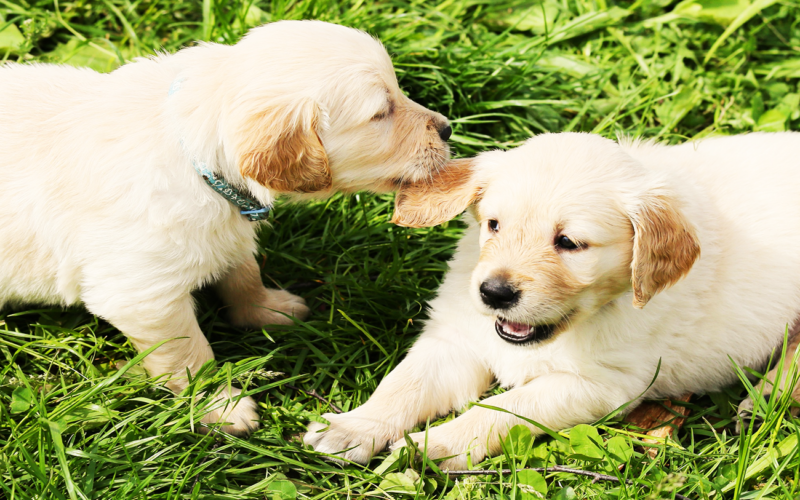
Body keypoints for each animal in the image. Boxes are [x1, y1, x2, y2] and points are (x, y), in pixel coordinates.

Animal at [0, 20, 450, 434]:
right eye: (381, 112)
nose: (447, 128)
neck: (197, 159)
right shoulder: (142, 296)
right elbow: (189, 357)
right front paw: (218, 406)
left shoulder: (230, 229)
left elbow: (244, 273)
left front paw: (266, 309)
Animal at [304, 133, 800, 468]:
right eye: (494, 225)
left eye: (569, 243)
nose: (494, 293)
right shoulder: (456, 340)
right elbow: (402, 385)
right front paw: (353, 428)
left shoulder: (601, 385)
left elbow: (506, 409)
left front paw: (438, 444)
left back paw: (765, 400)